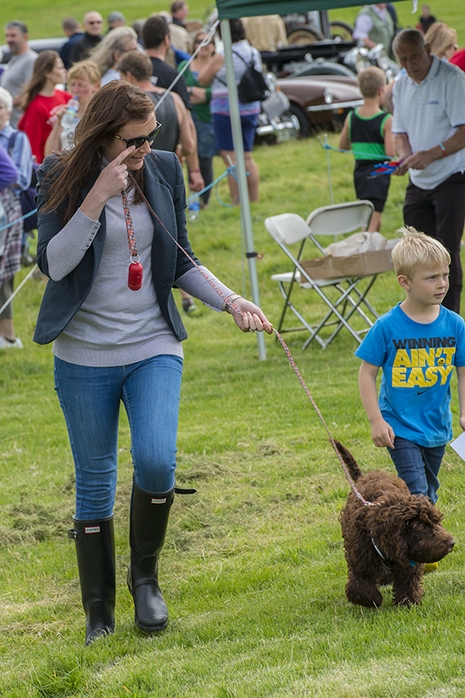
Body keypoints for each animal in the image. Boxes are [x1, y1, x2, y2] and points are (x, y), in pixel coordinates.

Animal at [336, 440, 454, 604]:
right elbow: (360, 587)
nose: (452, 543)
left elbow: (408, 582)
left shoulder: (408, 560)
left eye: (437, 522)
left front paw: (408, 602)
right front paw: (374, 599)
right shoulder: (360, 560)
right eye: (421, 528)